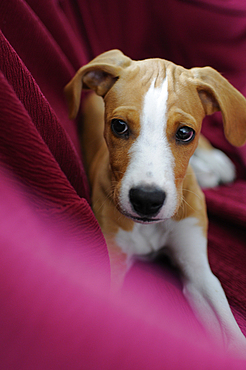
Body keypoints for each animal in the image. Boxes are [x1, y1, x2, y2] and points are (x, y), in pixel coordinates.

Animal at [65, 50, 246, 354]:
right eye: (119, 126)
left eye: (185, 133)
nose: (146, 200)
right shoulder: (112, 262)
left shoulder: (198, 269)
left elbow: (232, 335)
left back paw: (215, 164)